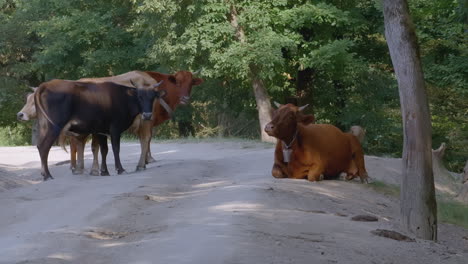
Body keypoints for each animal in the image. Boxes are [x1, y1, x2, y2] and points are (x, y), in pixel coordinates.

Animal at [34, 79, 164, 180]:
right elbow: (115, 149)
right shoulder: (115, 129)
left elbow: (104, 150)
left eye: (153, 97)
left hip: (44, 125)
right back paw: (47, 175)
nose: (147, 115)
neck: (123, 98)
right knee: (44, 147)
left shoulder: (101, 130)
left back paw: (44, 174)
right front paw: (120, 169)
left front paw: (105, 171)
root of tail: (47, 84)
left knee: (40, 146)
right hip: (54, 126)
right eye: (139, 97)